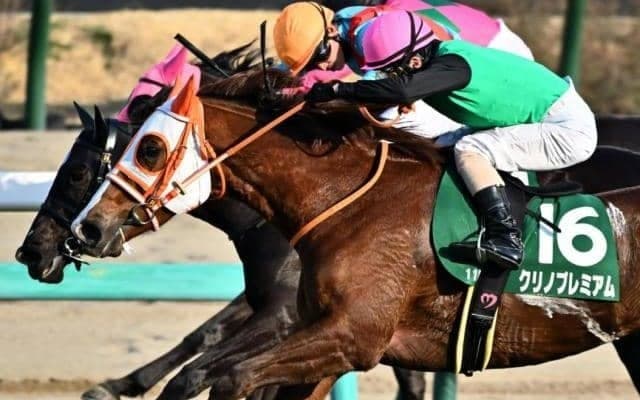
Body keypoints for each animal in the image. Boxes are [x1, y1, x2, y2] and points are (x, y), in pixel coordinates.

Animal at [14, 49, 428, 400]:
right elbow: (204, 336)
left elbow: (197, 371)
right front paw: (119, 384)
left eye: (77, 173)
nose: (31, 251)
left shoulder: (286, 315)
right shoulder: (268, 303)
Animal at [70, 66, 640, 400]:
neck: (348, 202)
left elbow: (228, 376)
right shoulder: (316, 333)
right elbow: (211, 367)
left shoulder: (351, 336)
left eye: (150, 150)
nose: (87, 229)